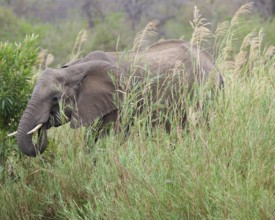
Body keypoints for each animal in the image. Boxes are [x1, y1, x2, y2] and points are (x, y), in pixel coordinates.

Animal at [11, 40, 225, 156]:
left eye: (55, 99)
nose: (43, 125)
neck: (75, 68)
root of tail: (214, 64)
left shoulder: (119, 101)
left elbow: (111, 137)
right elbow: (91, 138)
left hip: (205, 91)